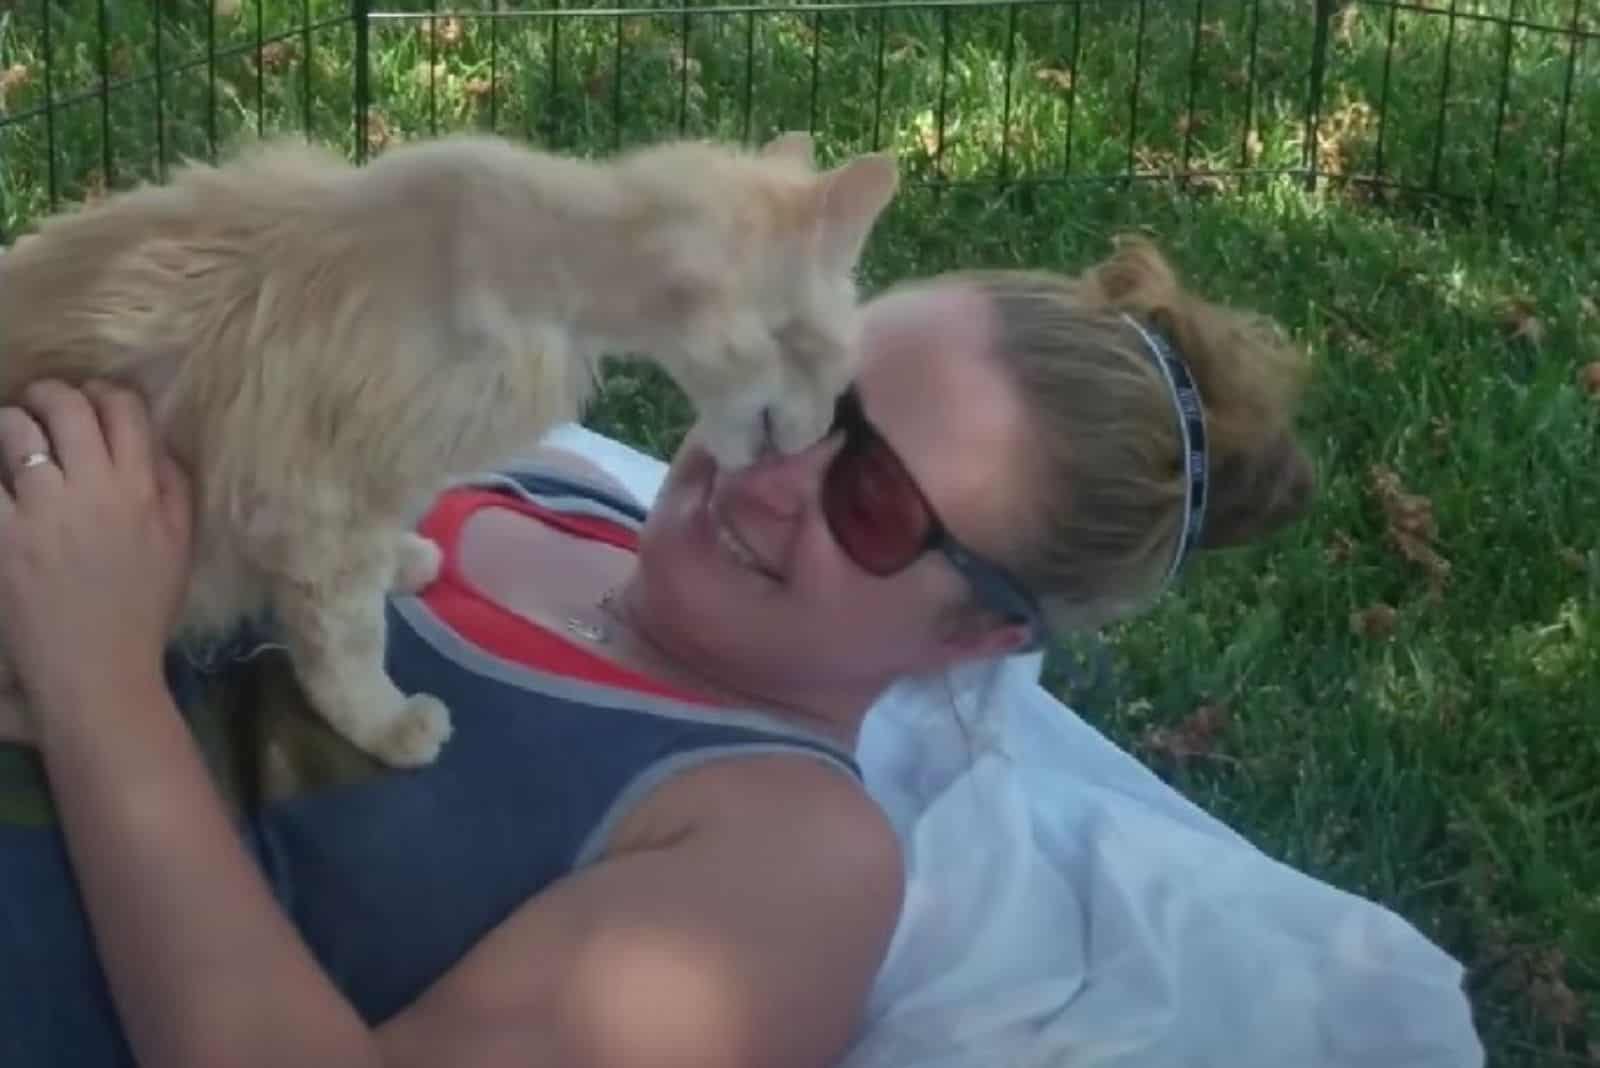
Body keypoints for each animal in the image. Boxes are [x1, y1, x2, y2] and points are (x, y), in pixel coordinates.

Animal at [0, 131, 902, 767]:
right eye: (833, 367)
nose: (815, 436)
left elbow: (369, 574)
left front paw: (406, 560)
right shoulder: (311, 498)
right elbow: (345, 643)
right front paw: (386, 723)